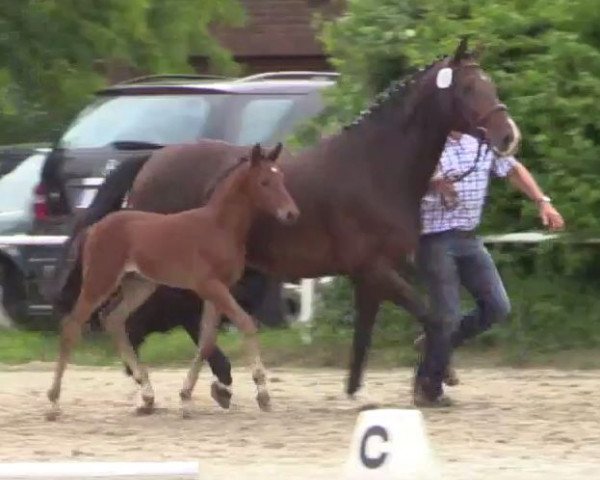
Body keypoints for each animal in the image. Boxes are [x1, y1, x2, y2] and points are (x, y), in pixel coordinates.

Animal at [45, 142, 298, 420]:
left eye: (281, 178)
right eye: (264, 182)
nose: (291, 213)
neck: (218, 227)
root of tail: (94, 229)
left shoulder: (217, 290)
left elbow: (206, 341)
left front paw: (186, 398)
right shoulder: (210, 286)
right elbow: (246, 324)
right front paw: (263, 395)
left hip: (140, 284)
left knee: (112, 319)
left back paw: (147, 396)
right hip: (101, 280)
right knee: (71, 325)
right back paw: (54, 404)